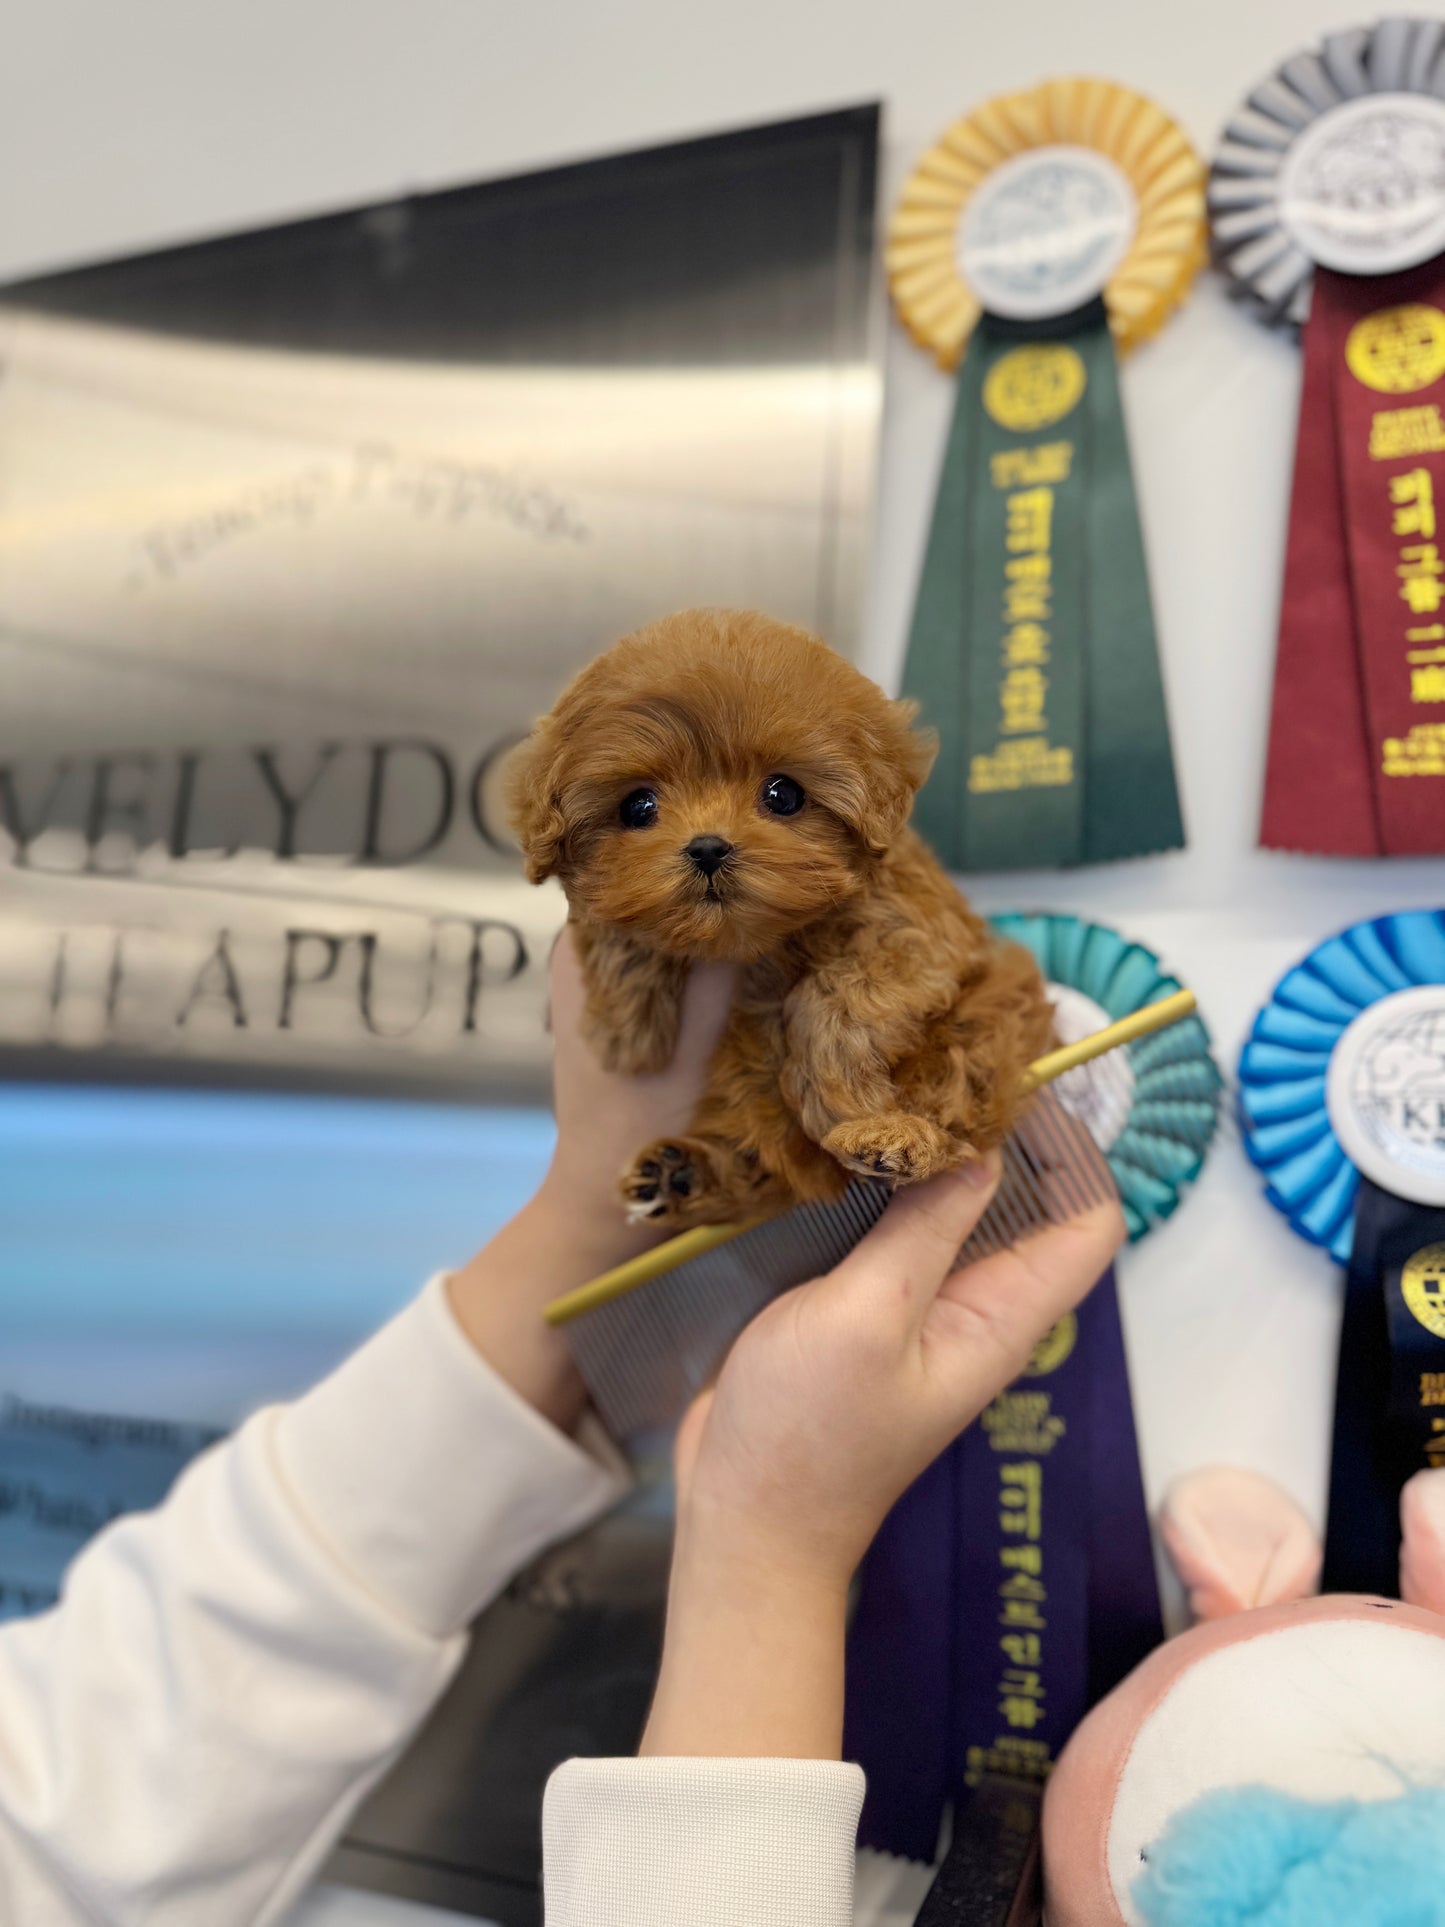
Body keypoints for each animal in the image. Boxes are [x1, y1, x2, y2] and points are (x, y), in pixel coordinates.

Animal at [508, 608, 1055, 1225]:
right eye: (638, 806)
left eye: (783, 795)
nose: (707, 847)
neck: (751, 943)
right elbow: (612, 926)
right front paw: (629, 1026)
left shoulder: (921, 941)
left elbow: (832, 998)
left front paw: (837, 1095)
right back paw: (680, 1174)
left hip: (988, 1018)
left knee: (959, 1109)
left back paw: (894, 1138)